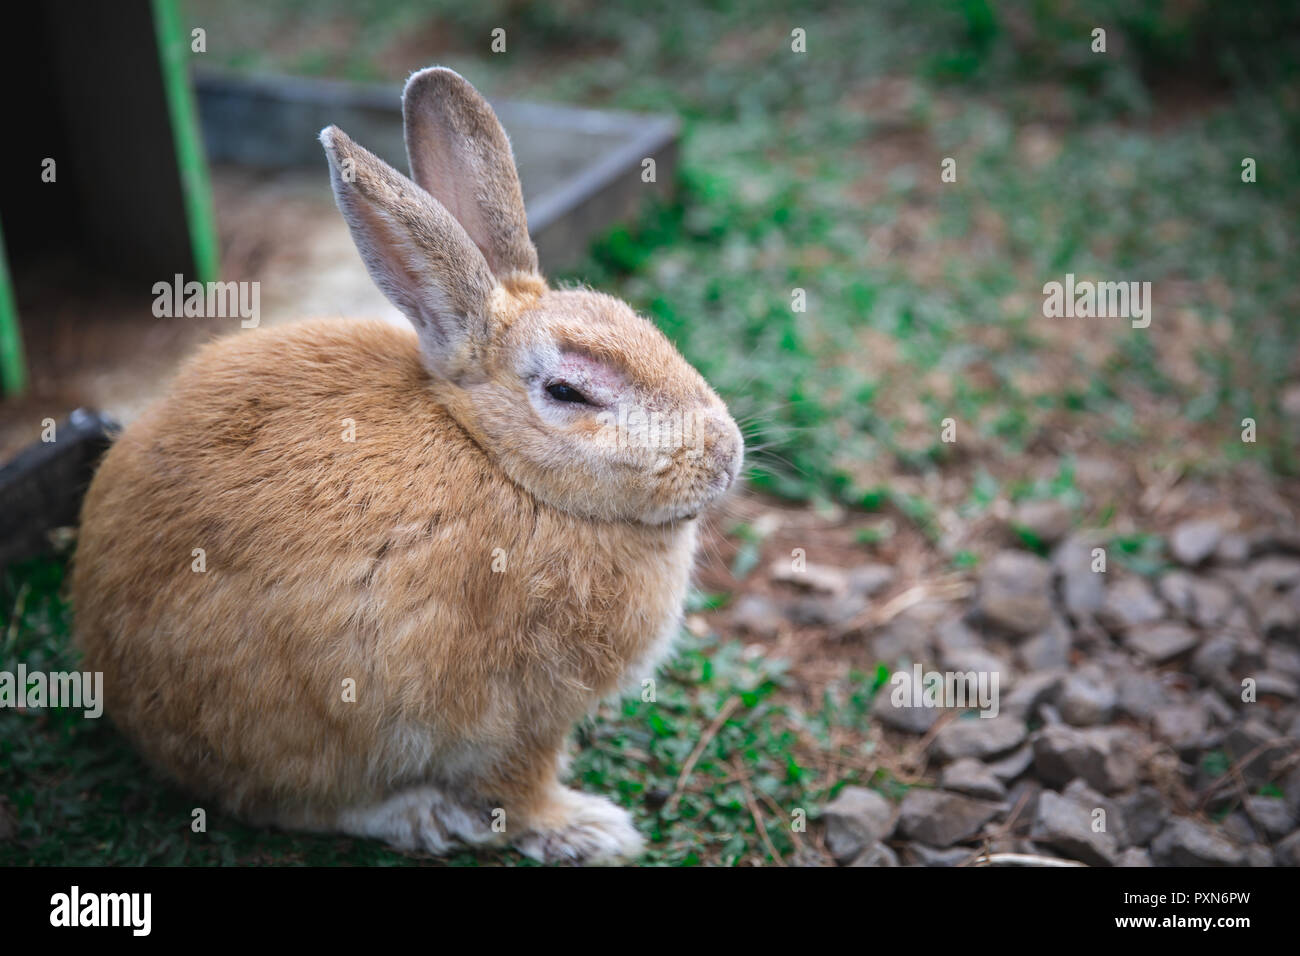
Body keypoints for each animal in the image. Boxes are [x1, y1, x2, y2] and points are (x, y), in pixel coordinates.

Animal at [71, 67, 743, 864]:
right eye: (568, 392)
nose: (727, 456)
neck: (497, 458)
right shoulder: (517, 716)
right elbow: (519, 789)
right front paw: (588, 828)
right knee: (289, 801)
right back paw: (422, 817)